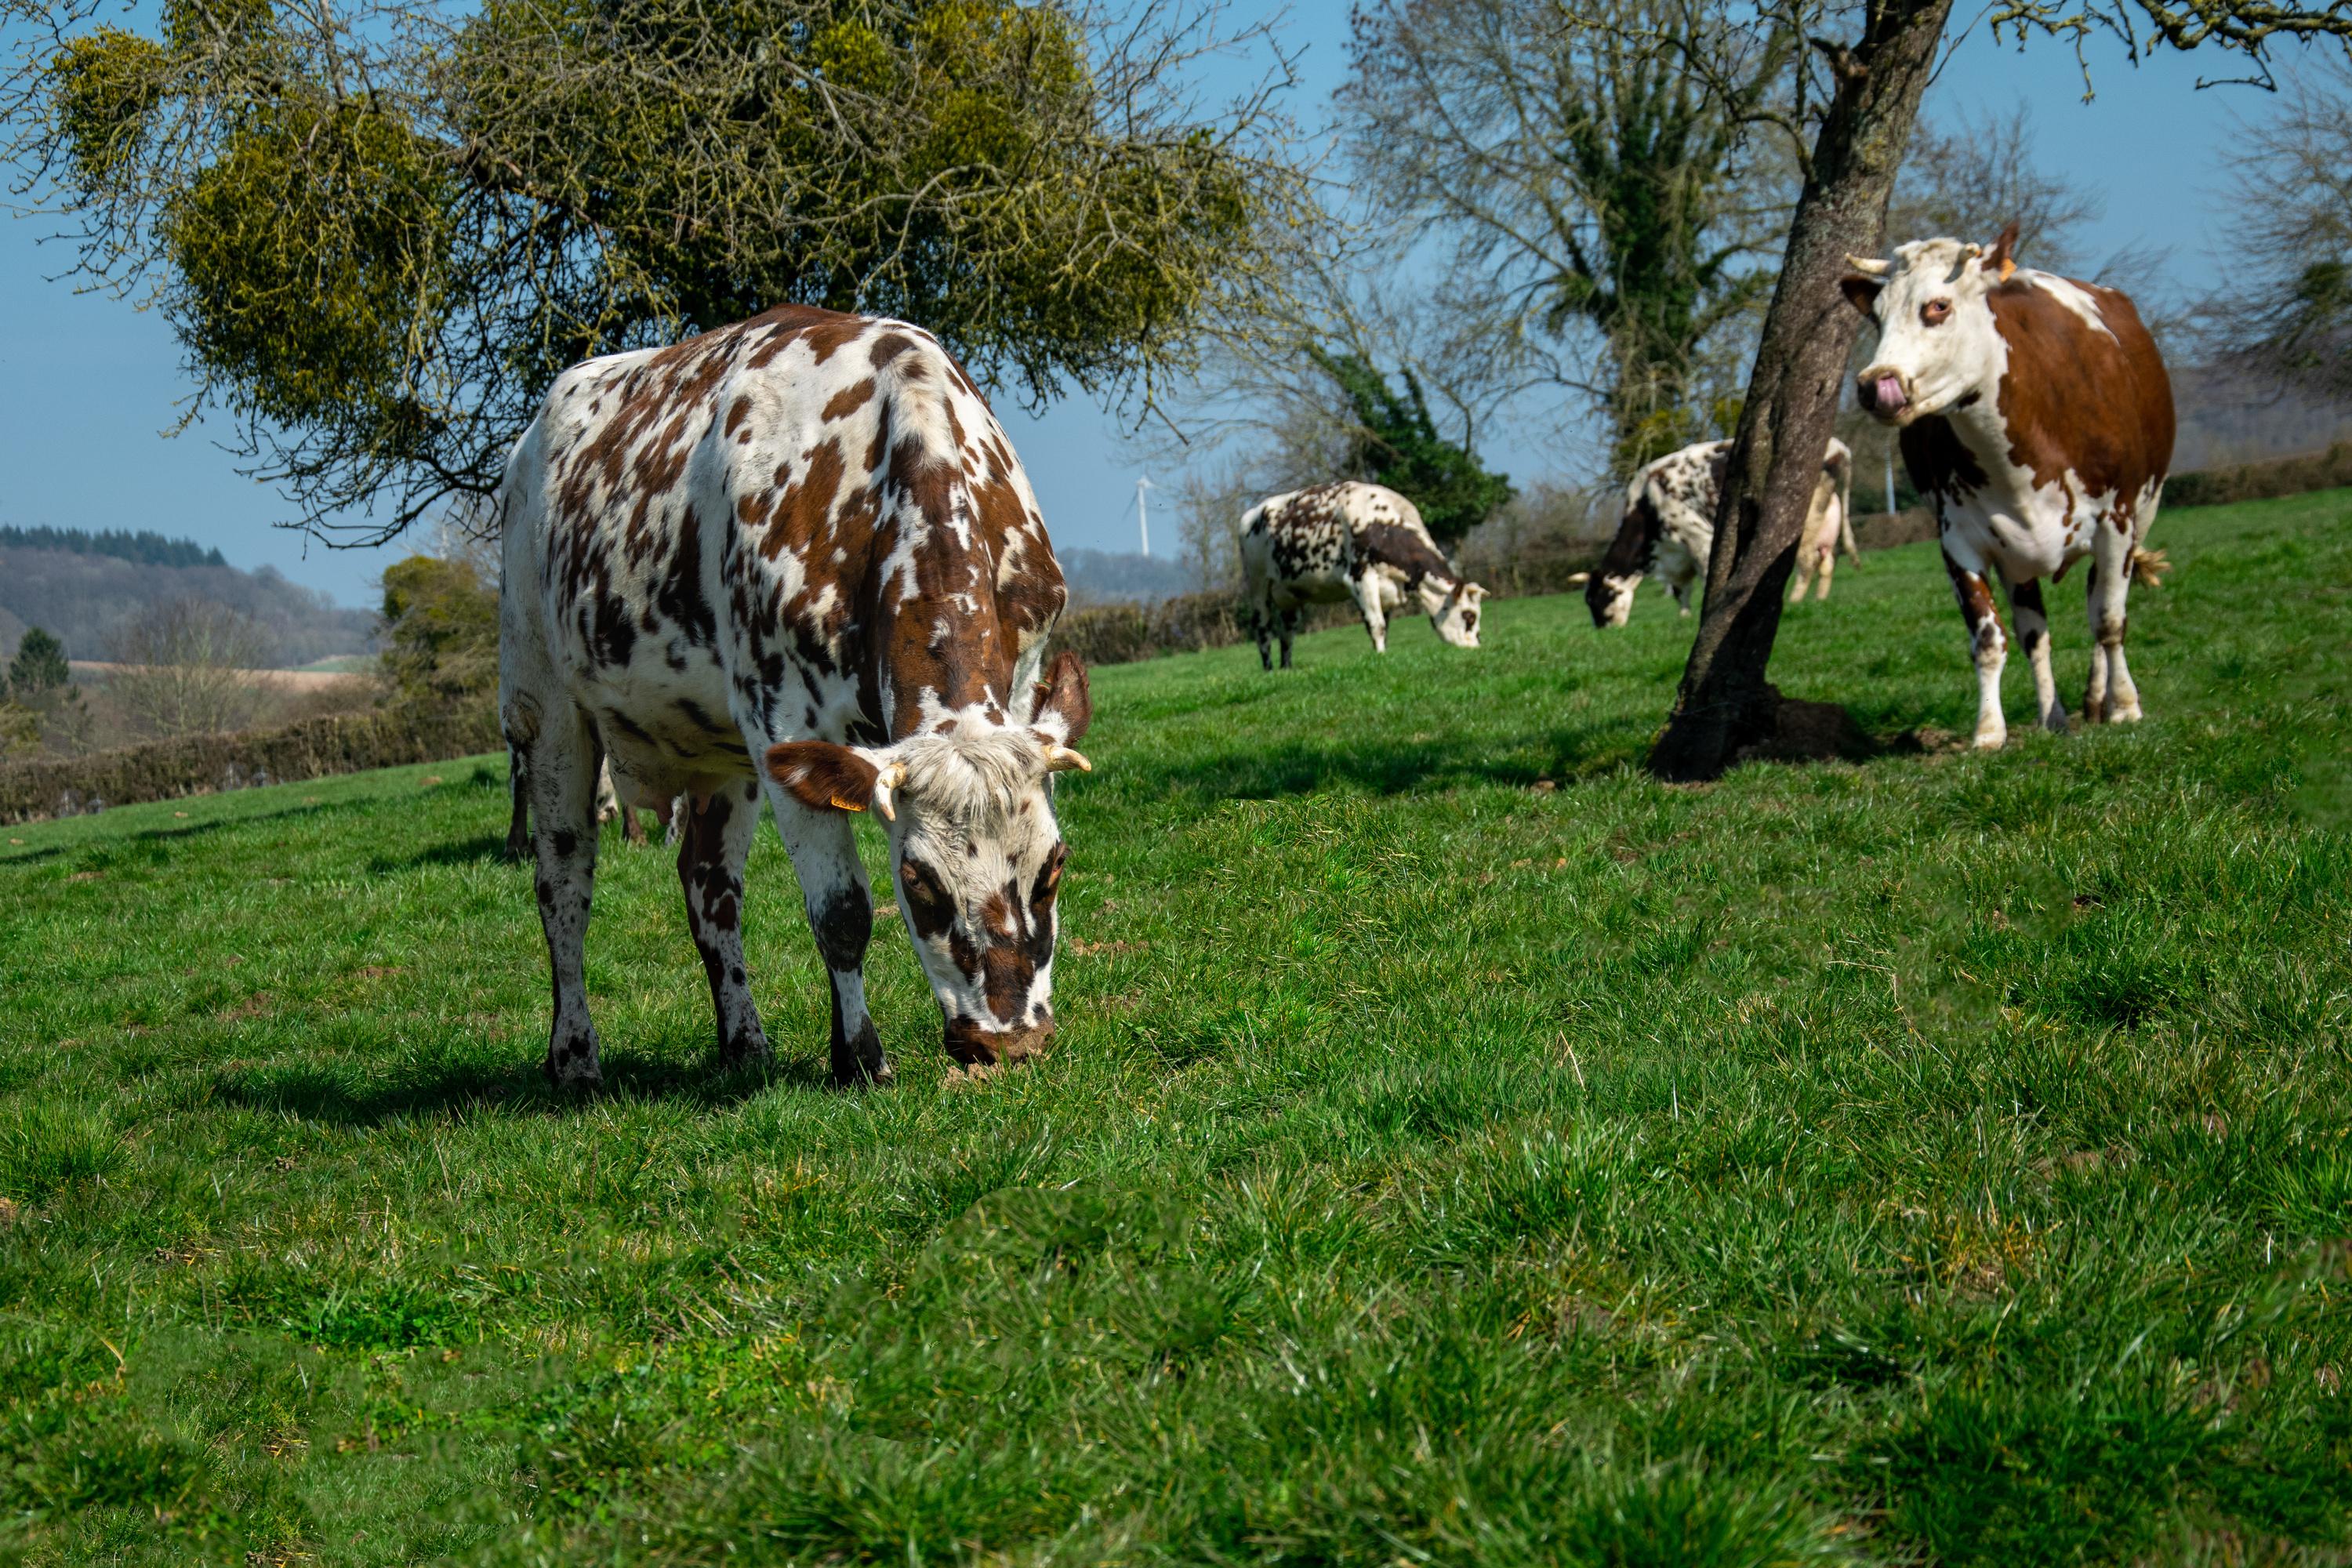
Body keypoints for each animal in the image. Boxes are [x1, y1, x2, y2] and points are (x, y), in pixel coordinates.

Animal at [497, 305, 1093, 1089]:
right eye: (918, 881)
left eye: (1053, 868)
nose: (1007, 1042)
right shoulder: (781, 716)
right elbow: (841, 912)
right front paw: (859, 1059)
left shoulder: (1020, 685)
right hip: (546, 715)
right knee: (563, 887)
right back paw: (574, 1057)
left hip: (720, 753)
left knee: (710, 890)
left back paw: (743, 1040)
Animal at [1239, 481, 1486, 670]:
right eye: (1468, 615)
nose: (1475, 649)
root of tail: (1251, 513)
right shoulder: (1361, 578)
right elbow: (1376, 624)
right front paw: (1381, 657)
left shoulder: (1388, 590)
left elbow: (1385, 626)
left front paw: (1383, 652)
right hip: (1258, 583)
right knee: (1263, 629)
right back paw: (1269, 670)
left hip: (1290, 596)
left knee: (1287, 633)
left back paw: (1287, 668)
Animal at [1576, 437, 1855, 628]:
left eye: (1596, 599)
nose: (1601, 628)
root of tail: (1839, 447)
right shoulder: (1678, 554)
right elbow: (1680, 590)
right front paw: (1684, 616)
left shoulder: (1698, 537)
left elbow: (1706, 575)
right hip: (1826, 521)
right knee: (1826, 563)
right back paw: (1819, 599)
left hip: (1804, 520)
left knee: (1807, 561)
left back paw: (1797, 600)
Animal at [1842, 222, 2173, 748]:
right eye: (1876, 316)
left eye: (1938, 306)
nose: (1877, 384)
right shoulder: (1960, 539)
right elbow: (1990, 639)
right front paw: (1989, 730)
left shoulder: (2116, 522)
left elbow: (2108, 620)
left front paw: (2124, 706)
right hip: (2016, 557)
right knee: (2034, 633)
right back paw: (2053, 716)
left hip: (2143, 511)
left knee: (2096, 601)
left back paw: (2096, 699)